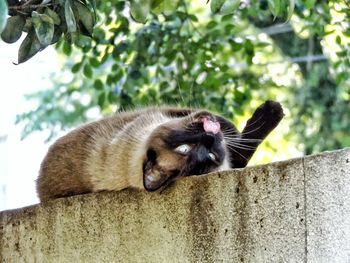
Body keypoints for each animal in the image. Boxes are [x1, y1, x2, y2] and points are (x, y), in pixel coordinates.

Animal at [35, 101, 284, 202]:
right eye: (185, 149)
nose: (211, 137)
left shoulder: (171, 112)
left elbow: (226, 125)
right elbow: (242, 143)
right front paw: (271, 111)